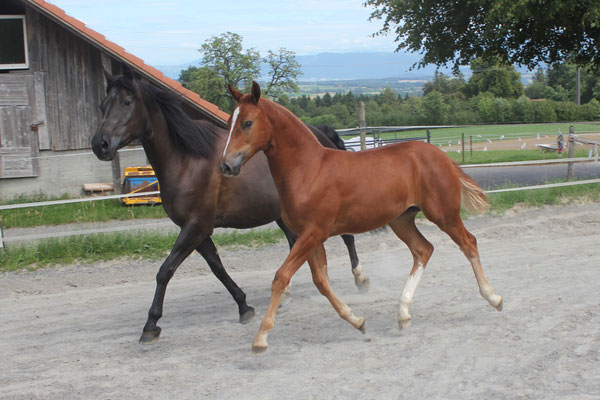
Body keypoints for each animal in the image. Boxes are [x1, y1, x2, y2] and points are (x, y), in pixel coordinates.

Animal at [91, 71, 368, 344]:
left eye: (126, 102)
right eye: (103, 105)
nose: (99, 144)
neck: (186, 160)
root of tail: (322, 135)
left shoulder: (196, 226)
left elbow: (165, 270)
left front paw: (150, 325)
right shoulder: (196, 230)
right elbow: (217, 267)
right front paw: (244, 306)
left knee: (347, 237)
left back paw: (360, 279)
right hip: (284, 215)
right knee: (294, 243)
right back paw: (287, 295)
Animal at [220, 82, 502, 354]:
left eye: (247, 123)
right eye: (229, 121)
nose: (226, 165)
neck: (308, 170)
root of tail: (441, 155)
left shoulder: (313, 233)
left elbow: (281, 276)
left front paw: (260, 338)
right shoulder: (308, 236)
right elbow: (321, 281)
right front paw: (358, 321)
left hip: (444, 214)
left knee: (468, 243)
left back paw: (494, 298)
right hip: (401, 220)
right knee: (424, 250)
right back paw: (403, 314)